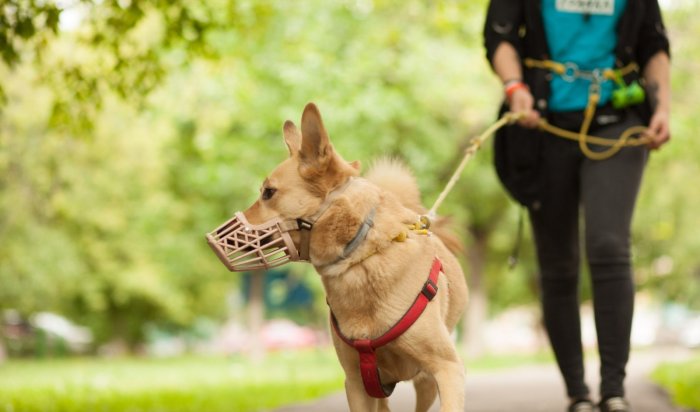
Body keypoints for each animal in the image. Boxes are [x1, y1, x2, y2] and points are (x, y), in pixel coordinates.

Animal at [208, 104, 470, 412]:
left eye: (268, 193)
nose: (212, 239)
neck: (360, 258)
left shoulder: (447, 369)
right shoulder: (357, 382)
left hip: (426, 383)